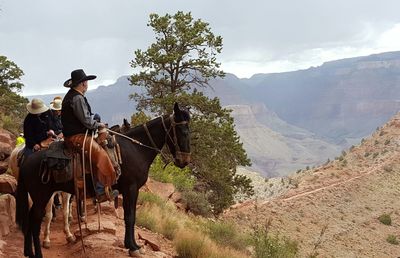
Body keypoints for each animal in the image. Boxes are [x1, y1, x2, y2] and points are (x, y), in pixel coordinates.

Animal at [16, 103, 191, 258]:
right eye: (182, 131)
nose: (184, 161)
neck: (136, 149)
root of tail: (27, 160)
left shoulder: (129, 191)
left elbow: (130, 216)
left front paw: (132, 245)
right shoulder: (131, 188)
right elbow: (130, 217)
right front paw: (133, 248)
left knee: (30, 220)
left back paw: (28, 252)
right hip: (41, 196)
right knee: (35, 222)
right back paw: (38, 253)